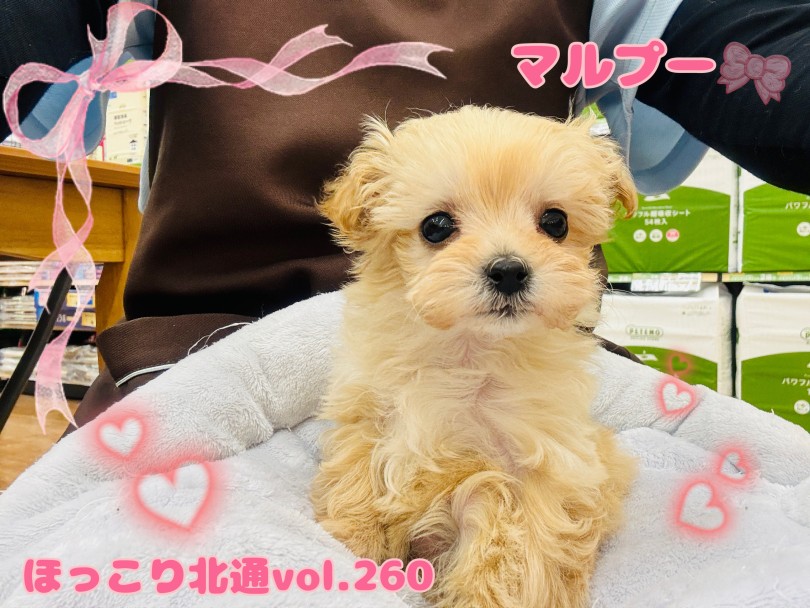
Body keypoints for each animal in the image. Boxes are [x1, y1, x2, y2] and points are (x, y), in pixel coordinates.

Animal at [311, 106, 638, 608]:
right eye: (436, 226)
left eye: (556, 222)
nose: (509, 270)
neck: (470, 351)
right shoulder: (368, 418)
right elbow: (356, 489)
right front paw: (352, 552)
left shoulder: (534, 468)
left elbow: (509, 562)